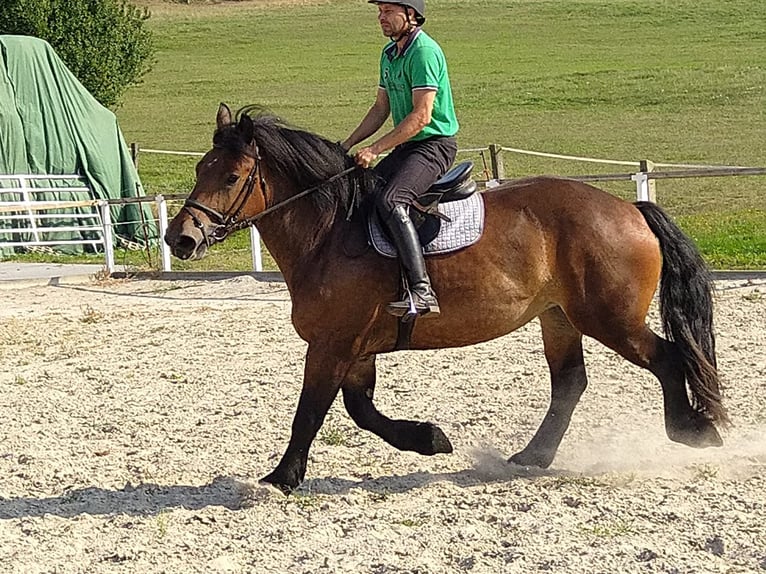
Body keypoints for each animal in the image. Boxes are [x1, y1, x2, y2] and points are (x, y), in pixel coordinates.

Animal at [165, 103, 728, 496]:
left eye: (232, 177)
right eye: (199, 170)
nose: (180, 239)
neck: (330, 231)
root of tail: (630, 209)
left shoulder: (331, 344)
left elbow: (312, 409)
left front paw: (283, 476)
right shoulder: (354, 348)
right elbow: (359, 409)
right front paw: (429, 438)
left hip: (609, 319)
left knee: (667, 358)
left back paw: (692, 430)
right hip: (559, 317)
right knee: (570, 383)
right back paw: (531, 457)